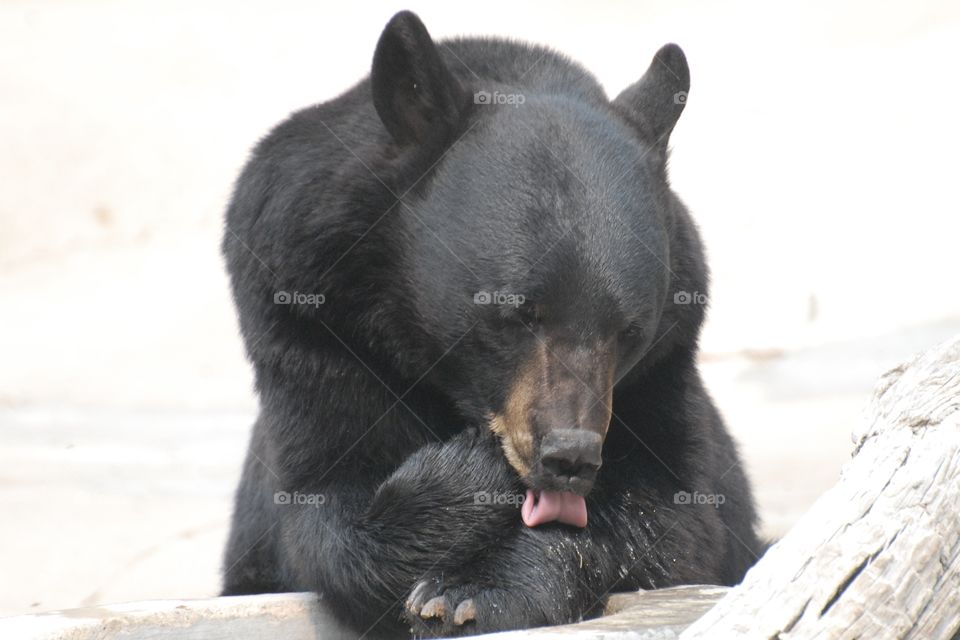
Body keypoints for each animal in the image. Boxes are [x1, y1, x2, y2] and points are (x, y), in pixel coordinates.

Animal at [221, 9, 763, 639]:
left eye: (628, 332)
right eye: (518, 313)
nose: (569, 457)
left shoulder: (664, 369)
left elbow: (672, 517)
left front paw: (471, 592)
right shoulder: (310, 324)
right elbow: (324, 508)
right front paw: (467, 475)